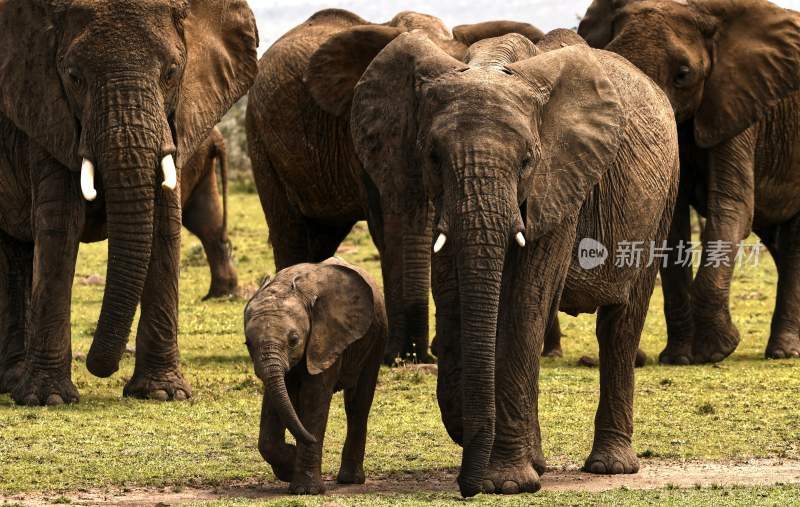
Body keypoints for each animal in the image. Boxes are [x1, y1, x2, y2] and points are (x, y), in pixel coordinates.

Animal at [0, 0, 256, 404]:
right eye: (74, 77)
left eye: (171, 72)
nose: (98, 366)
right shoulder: (45, 109)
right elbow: (59, 229)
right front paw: (47, 399)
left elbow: (165, 224)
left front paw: (163, 394)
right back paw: (13, 383)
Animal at [244, 260, 388, 494]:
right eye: (248, 344)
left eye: (294, 340)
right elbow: (276, 402)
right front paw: (290, 464)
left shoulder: (326, 336)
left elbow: (315, 397)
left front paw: (306, 490)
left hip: (377, 337)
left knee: (357, 404)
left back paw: (350, 480)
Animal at [245, 7, 544, 366]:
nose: (417, 355)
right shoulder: (362, 133)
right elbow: (388, 229)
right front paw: (396, 354)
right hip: (259, 139)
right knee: (289, 231)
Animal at [340, 30, 680, 496]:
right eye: (432, 158)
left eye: (526, 161)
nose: (467, 488)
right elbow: (453, 292)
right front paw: (472, 430)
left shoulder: (560, 180)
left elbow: (526, 300)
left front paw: (507, 483)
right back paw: (538, 460)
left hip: (663, 198)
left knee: (620, 325)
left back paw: (609, 466)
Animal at [580, 0, 800, 366]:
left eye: (683, 75)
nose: (640, 359)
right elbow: (671, 222)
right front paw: (678, 358)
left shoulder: (736, 103)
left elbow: (731, 206)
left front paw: (716, 351)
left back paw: (784, 352)